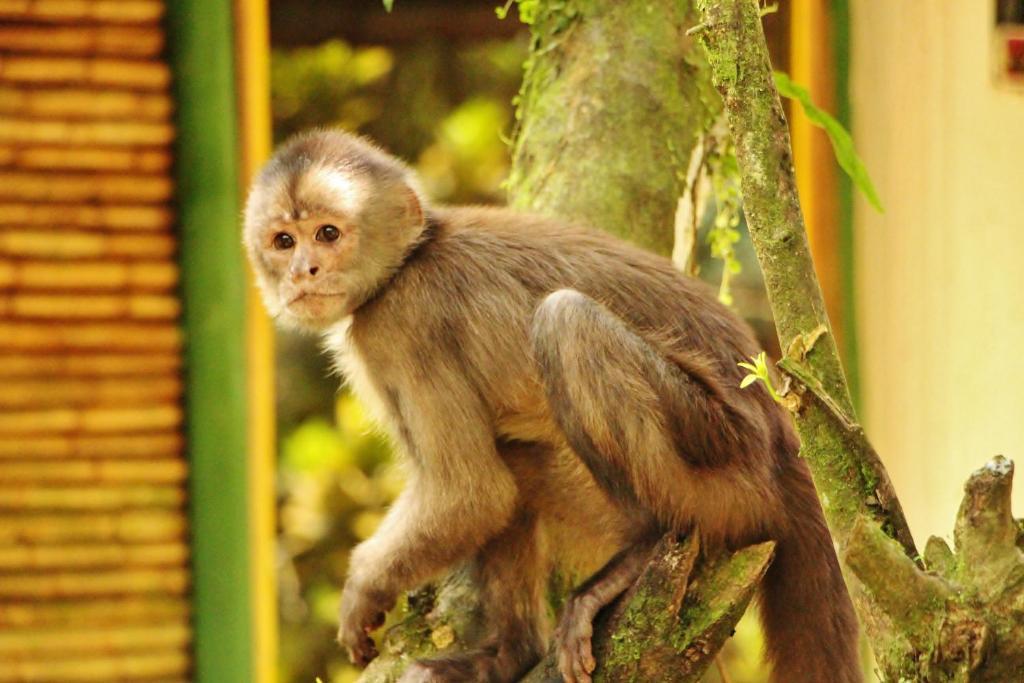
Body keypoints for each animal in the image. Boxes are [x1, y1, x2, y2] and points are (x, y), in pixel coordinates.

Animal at [243, 129, 860, 683]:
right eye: (283, 242)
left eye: (327, 234)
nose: (302, 272)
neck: (408, 262)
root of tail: (785, 437)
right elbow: (488, 494)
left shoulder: (399, 325)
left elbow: (470, 495)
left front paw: (363, 589)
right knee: (517, 458)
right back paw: (508, 656)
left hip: (727, 472)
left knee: (567, 324)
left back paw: (642, 551)